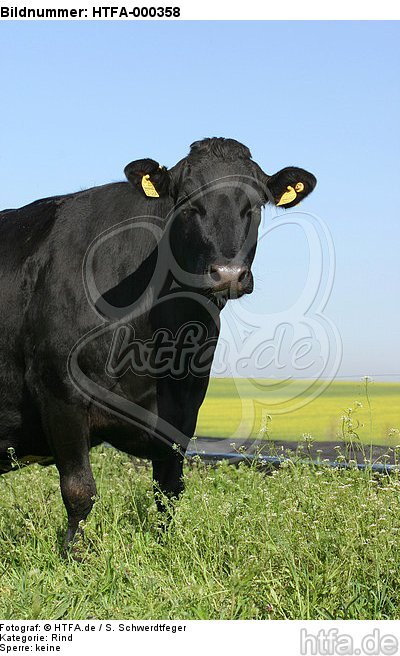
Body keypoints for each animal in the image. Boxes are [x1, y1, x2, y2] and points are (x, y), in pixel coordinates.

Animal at [0, 137, 316, 552]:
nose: (228, 273)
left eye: (256, 204)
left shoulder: (184, 408)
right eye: (186, 201)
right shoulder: (57, 390)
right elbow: (79, 490)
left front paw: (166, 548)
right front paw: (74, 556)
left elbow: (169, 491)